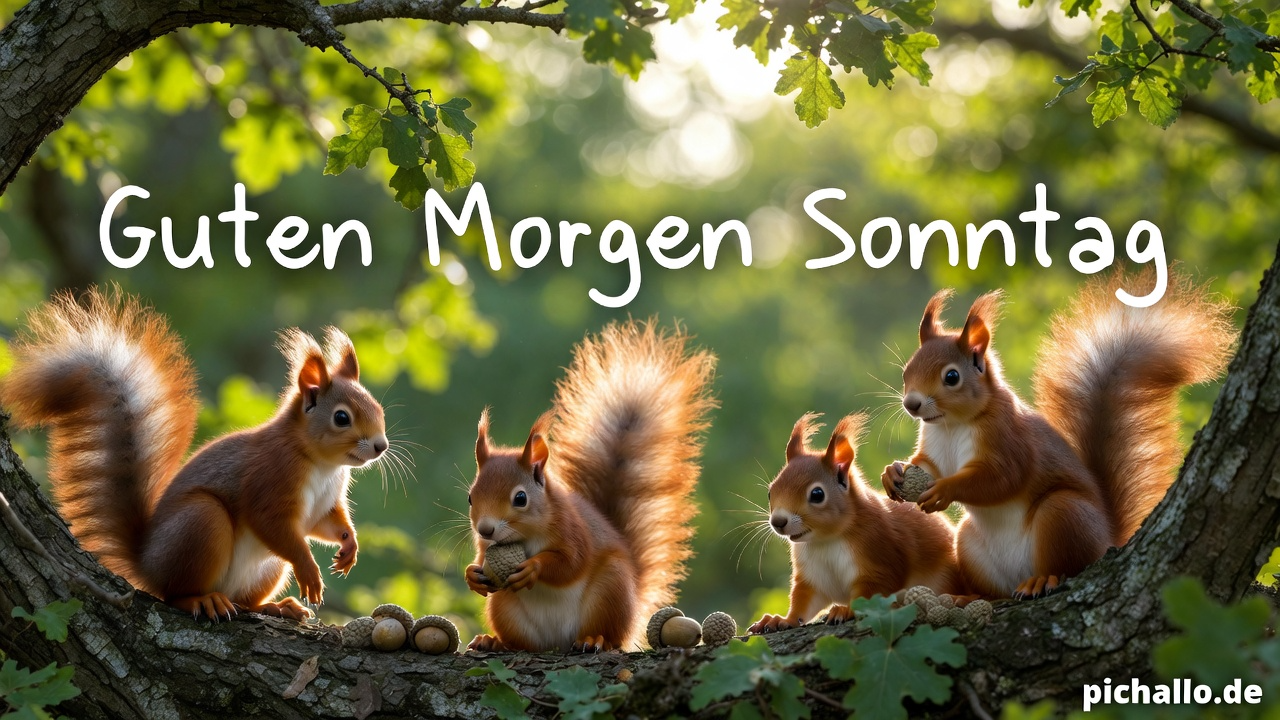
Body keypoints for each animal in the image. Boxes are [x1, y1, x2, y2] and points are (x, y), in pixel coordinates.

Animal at [0, 286, 388, 620]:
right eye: (342, 418)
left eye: (378, 406)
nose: (380, 446)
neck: (323, 465)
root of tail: (147, 562)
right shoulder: (270, 478)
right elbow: (274, 526)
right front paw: (309, 571)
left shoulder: (325, 502)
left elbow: (326, 524)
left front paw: (349, 545)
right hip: (201, 524)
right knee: (176, 594)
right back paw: (203, 600)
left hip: (265, 569)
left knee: (244, 602)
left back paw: (276, 607)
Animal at [463, 320, 716, 652]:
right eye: (470, 498)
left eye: (520, 498)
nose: (485, 529)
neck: (525, 536)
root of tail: (558, 640)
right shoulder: (487, 549)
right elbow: (481, 561)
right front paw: (472, 575)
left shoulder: (572, 529)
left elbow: (570, 562)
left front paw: (535, 567)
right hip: (505, 607)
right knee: (521, 642)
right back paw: (494, 642)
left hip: (610, 591)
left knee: (609, 635)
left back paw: (594, 639)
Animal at [749, 412, 963, 633]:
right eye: (770, 492)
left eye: (817, 494)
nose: (778, 521)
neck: (826, 541)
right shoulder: (813, 577)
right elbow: (804, 602)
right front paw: (781, 620)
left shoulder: (880, 557)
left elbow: (872, 592)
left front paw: (845, 610)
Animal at [882, 270, 1235, 599]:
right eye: (906, 371)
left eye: (952, 377)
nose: (911, 404)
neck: (953, 425)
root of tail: (1108, 539)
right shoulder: (935, 447)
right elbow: (927, 466)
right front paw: (893, 472)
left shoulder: (1008, 439)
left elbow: (1001, 477)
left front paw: (946, 489)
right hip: (969, 544)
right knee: (993, 592)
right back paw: (966, 598)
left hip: (1065, 516)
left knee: (1066, 565)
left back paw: (1042, 580)